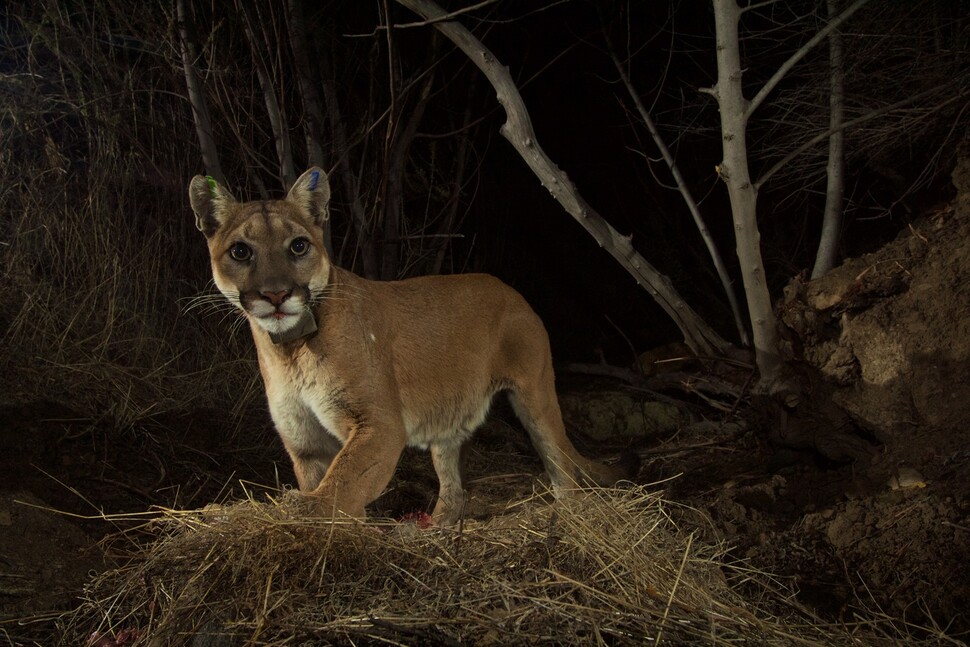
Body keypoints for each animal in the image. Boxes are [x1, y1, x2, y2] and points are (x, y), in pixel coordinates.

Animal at [188, 168, 636, 528]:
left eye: (298, 246)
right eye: (240, 251)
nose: (276, 294)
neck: (290, 349)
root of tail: (511, 290)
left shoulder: (379, 424)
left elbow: (343, 482)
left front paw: (305, 513)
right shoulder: (305, 442)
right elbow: (332, 482)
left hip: (535, 394)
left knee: (561, 462)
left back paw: (569, 517)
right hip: (447, 421)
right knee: (453, 486)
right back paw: (435, 528)